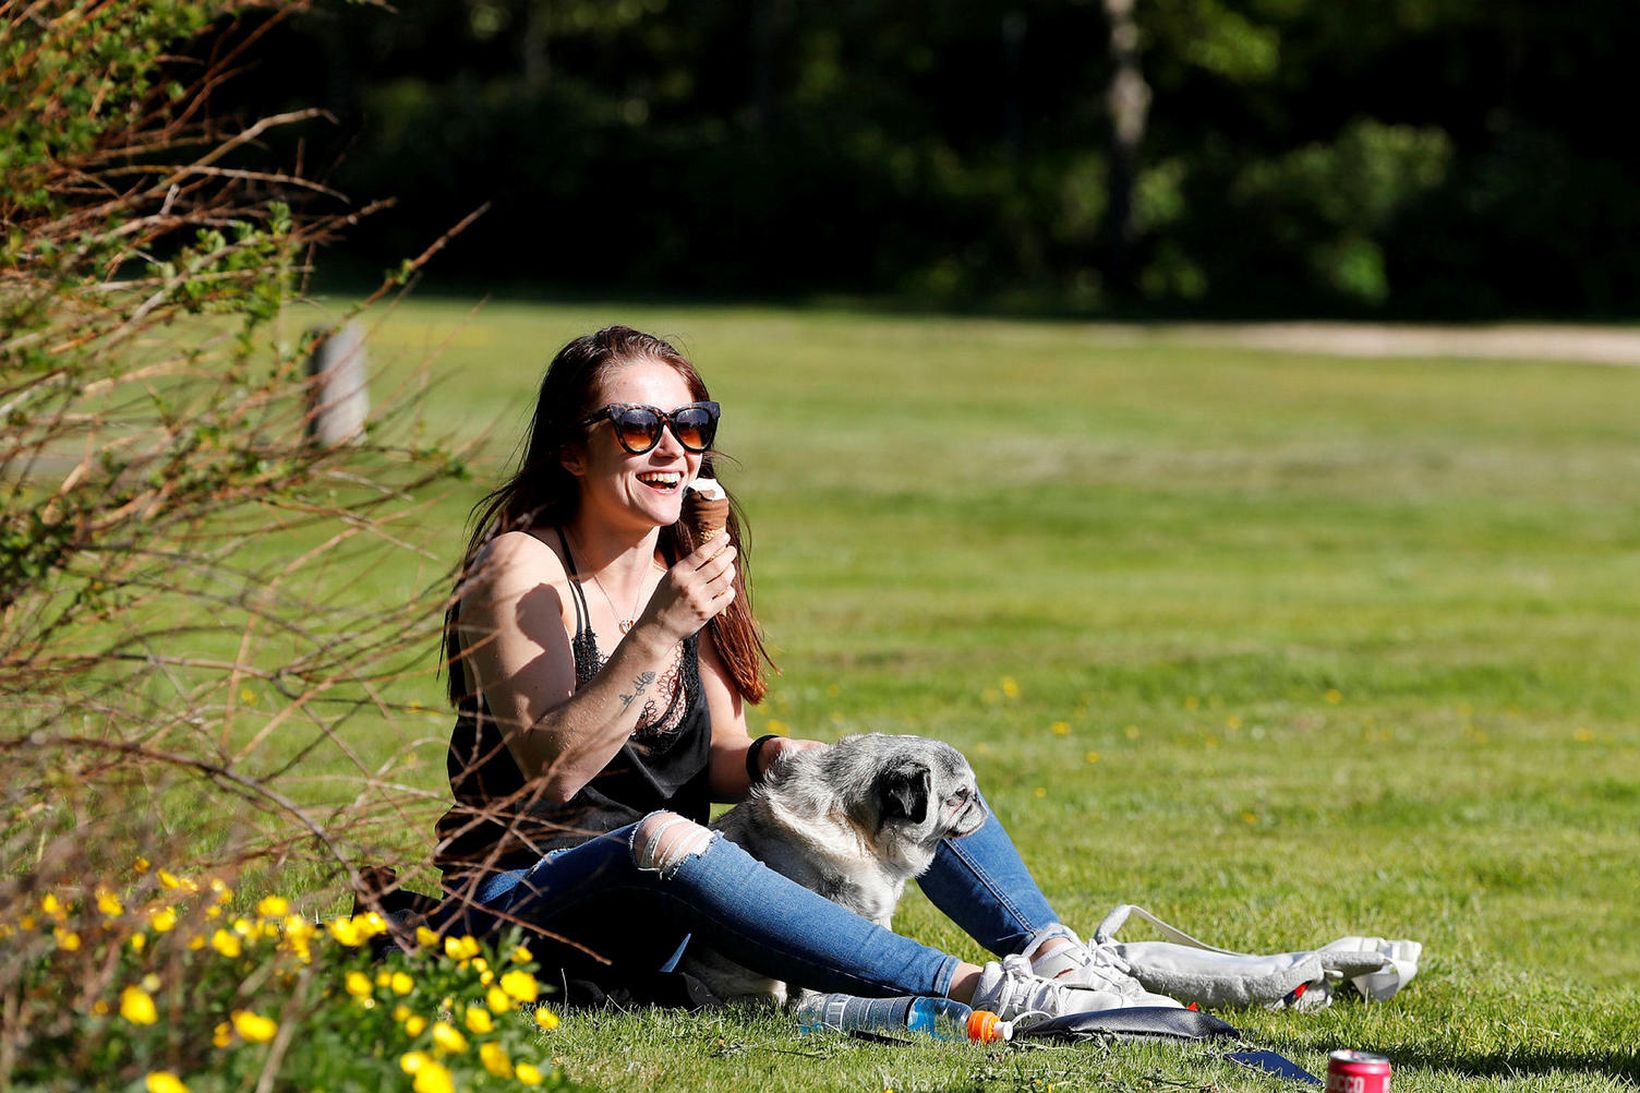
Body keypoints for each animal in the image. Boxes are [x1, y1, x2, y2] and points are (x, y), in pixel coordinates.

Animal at [678, 731, 984, 1004]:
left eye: (971, 793)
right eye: (960, 795)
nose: (979, 801)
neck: (861, 835)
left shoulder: (876, 917)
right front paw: (811, 1004)